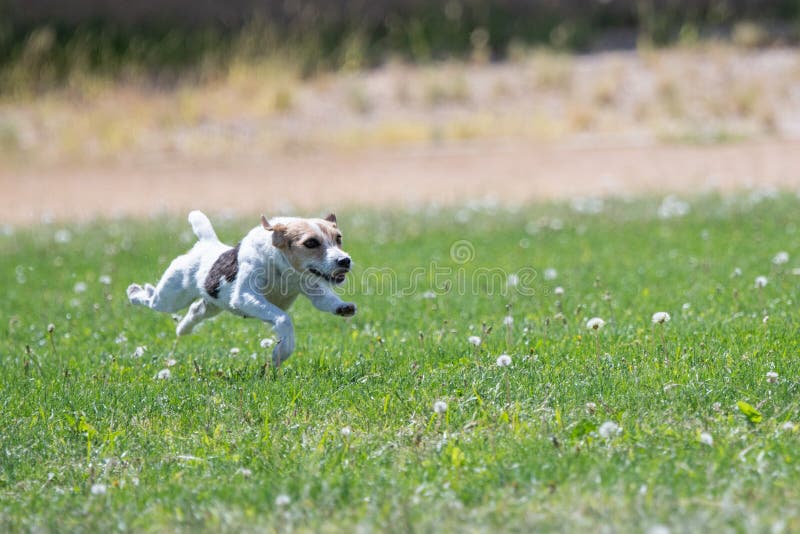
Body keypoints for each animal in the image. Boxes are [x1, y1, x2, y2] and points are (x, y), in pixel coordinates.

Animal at [126, 211, 356, 366]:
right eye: (310, 243)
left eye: (338, 238)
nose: (345, 260)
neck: (282, 268)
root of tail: (206, 245)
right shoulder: (245, 297)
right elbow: (283, 319)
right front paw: (280, 352)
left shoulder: (313, 289)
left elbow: (326, 301)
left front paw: (343, 307)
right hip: (170, 297)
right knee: (152, 298)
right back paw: (134, 292)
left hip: (213, 304)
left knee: (196, 310)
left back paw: (183, 328)